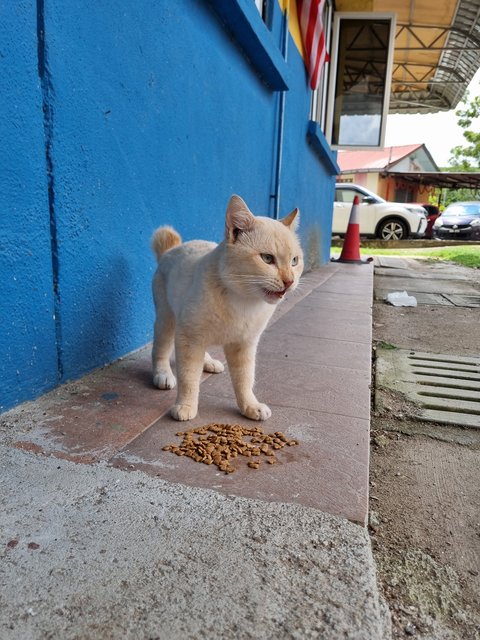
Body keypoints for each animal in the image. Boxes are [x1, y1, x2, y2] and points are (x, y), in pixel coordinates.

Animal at [152, 194, 304, 420]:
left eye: (294, 261)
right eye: (267, 259)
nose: (289, 282)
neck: (243, 300)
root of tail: (171, 249)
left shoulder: (244, 345)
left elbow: (245, 379)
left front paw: (250, 406)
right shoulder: (189, 337)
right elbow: (189, 377)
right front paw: (185, 406)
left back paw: (208, 363)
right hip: (166, 320)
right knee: (160, 349)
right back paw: (162, 375)